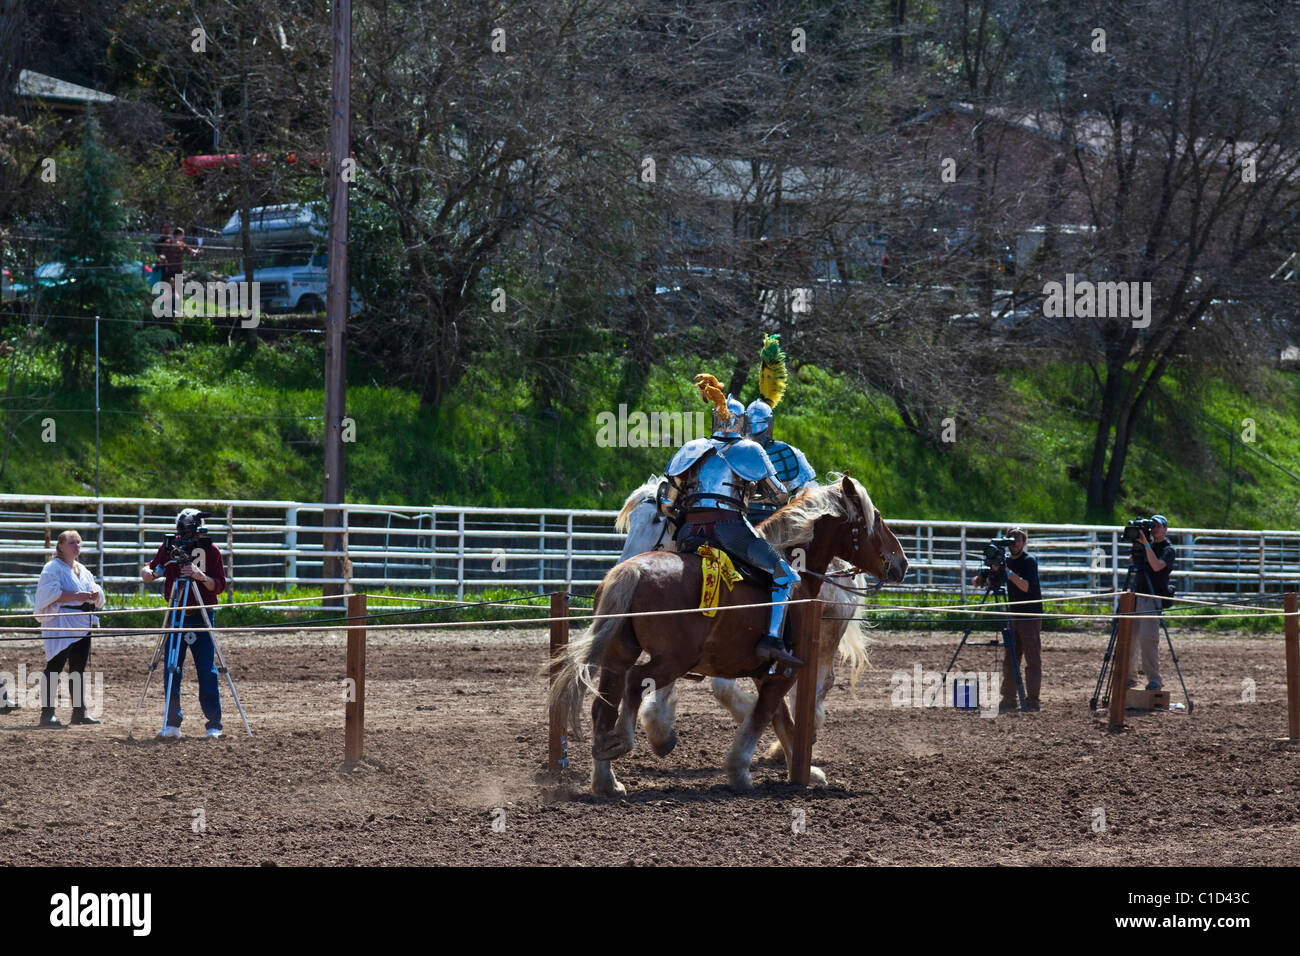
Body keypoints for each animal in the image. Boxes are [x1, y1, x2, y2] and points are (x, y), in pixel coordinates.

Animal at [548, 476, 904, 796]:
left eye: (655, 519)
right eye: (877, 518)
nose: (901, 562)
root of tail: (632, 571)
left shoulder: (768, 671)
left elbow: (781, 718)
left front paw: (804, 770)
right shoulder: (786, 667)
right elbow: (763, 715)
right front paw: (740, 771)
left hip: (620, 654)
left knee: (604, 704)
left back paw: (606, 779)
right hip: (671, 659)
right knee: (634, 682)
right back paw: (623, 742)